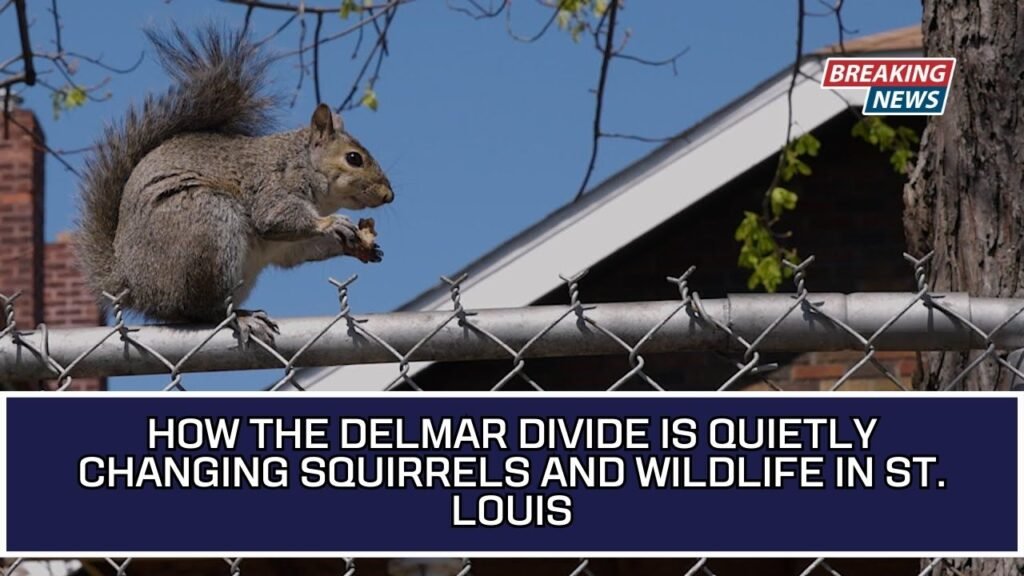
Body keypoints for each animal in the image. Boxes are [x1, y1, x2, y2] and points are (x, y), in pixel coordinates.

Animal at [74, 25, 394, 346]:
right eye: (354, 158)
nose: (389, 195)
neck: (302, 163)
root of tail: (133, 283)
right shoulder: (274, 187)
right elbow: (275, 218)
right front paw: (332, 223)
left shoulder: (288, 246)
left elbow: (301, 250)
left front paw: (360, 247)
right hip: (208, 226)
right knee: (201, 312)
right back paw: (241, 318)